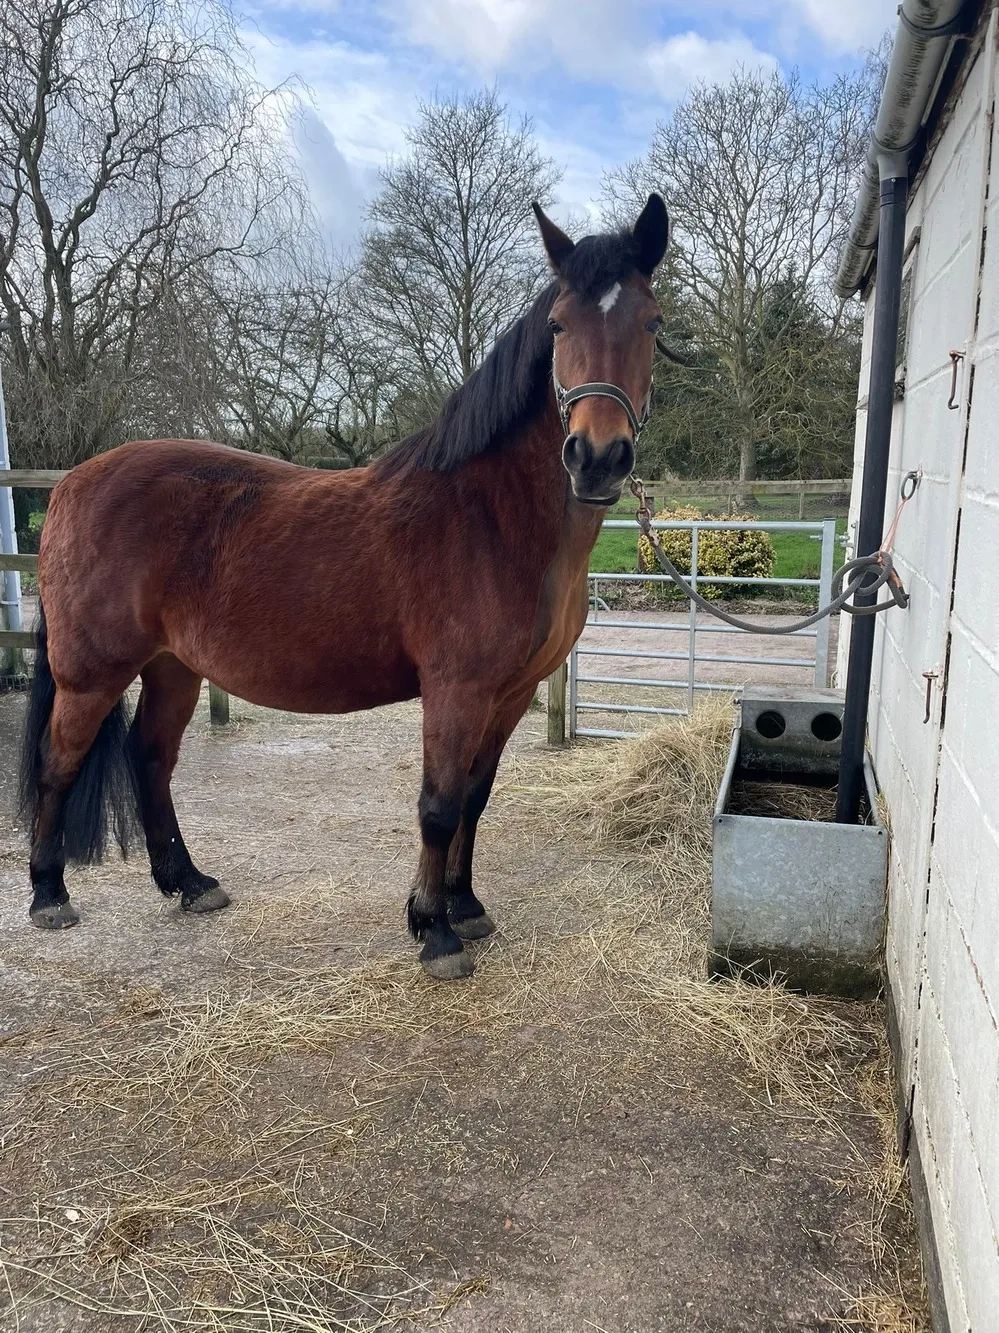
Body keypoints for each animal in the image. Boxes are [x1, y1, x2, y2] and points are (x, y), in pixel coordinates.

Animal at [18, 194, 670, 979]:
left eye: (652, 322)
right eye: (557, 326)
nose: (597, 457)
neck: (489, 515)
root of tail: (71, 485)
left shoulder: (508, 693)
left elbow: (476, 798)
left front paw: (465, 906)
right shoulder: (456, 689)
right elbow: (438, 805)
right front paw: (434, 930)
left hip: (173, 666)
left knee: (150, 758)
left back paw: (190, 883)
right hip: (91, 672)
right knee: (59, 764)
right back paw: (49, 895)